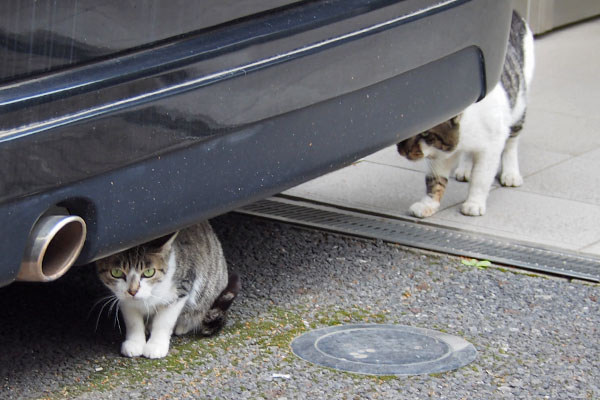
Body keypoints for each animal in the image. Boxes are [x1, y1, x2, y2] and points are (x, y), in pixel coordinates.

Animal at [97, 222, 240, 360]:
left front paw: (156, 345)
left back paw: (183, 325)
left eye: (149, 272)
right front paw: (135, 343)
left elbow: (164, 321)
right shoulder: (123, 299)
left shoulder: (181, 287)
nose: (132, 291)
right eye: (116, 273)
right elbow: (133, 321)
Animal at [398, 11, 536, 219]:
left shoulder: (491, 146)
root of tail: (515, 14)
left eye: (425, 133)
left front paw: (474, 203)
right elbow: (435, 180)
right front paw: (428, 204)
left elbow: (481, 178)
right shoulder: (440, 155)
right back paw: (465, 168)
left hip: (519, 105)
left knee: (512, 142)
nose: (402, 150)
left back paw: (510, 172)